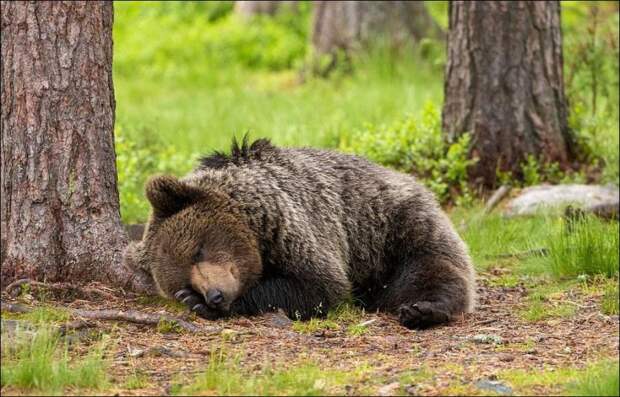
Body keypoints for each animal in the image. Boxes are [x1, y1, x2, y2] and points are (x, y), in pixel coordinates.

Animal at [123, 136, 478, 328]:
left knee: (430, 270)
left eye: (198, 249)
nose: (215, 294)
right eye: (182, 280)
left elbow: (319, 285)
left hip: (394, 227)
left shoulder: (296, 225)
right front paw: (195, 302)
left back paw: (422, 309)